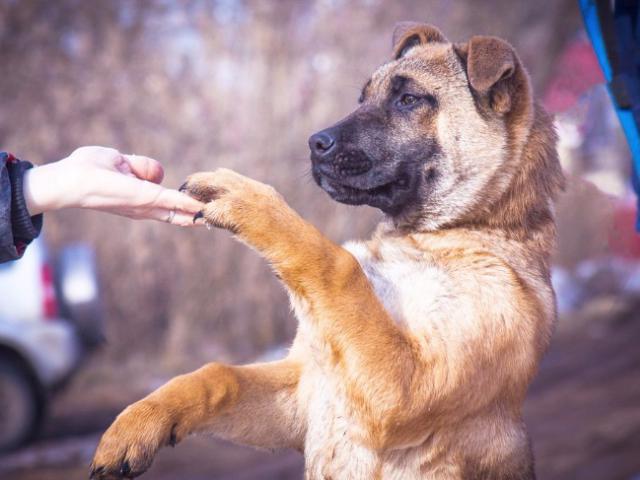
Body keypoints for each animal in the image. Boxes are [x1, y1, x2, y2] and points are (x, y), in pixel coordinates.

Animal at [91, 22, 564, 480]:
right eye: (362, 98)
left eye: (409, 99)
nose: (314, 143)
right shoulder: (306, 393)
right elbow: (218, 375)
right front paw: (141, 422)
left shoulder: (406, 387)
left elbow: (339, 263)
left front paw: (251, 199)